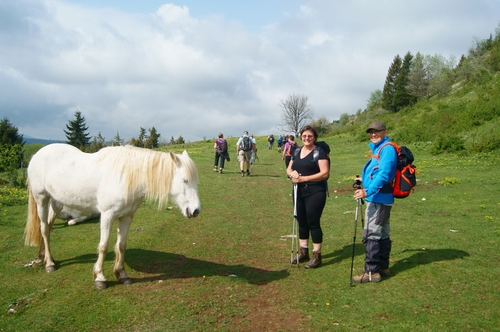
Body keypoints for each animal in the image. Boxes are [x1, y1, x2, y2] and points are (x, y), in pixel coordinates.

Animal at [23, 144, 199, 290]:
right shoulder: (107, 216)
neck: (126, 176)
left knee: (48, 226)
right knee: (44, 229)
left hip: (57, 202)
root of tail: (38, 154)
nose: (195, 211)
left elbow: (121, 245)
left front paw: (122, 275)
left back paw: (44, 256)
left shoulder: (126, 217)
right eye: (185, 180)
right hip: (42, 199)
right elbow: (104, 246)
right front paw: (100, 278)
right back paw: (49, 264)